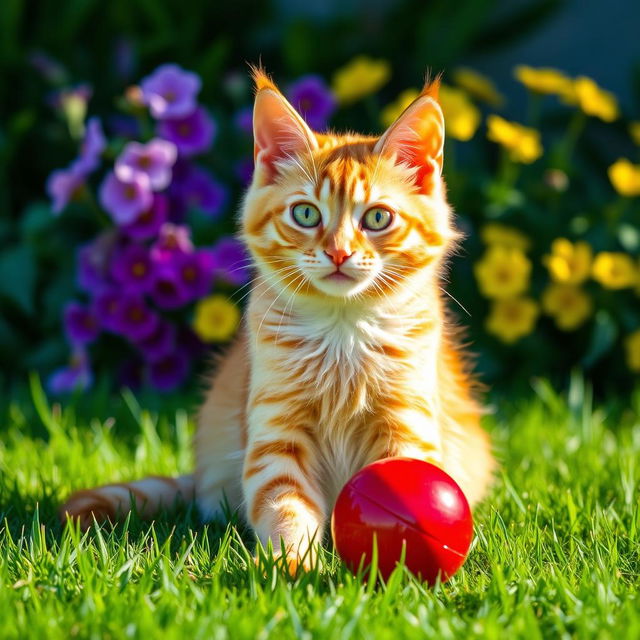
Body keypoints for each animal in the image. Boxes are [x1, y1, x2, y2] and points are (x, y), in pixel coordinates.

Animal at [62, 69, 496, 568]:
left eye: (377, 218)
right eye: (306, 213)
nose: (339, 253)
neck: (341, 331)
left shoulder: (408, 419)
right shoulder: (275, 432)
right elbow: (285, 504)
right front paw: (292, 564)